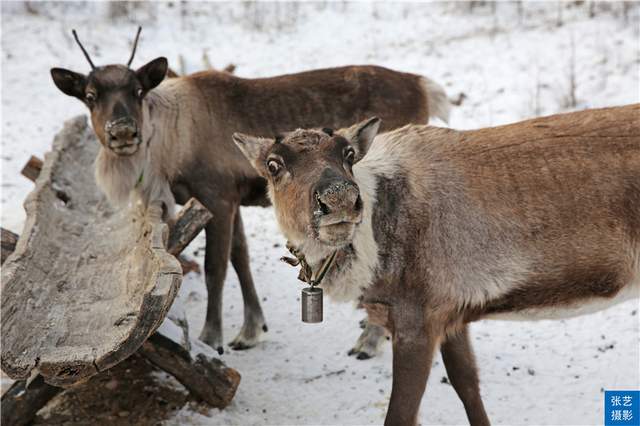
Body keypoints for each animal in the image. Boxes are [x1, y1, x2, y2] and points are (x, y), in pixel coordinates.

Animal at [50, 28, 451, 355]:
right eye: (90, 95)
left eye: (137, 90)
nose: (122, 132)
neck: (170, 145)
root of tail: (424, 86)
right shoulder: (231, 200)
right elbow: (240, 258)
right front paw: (251, 329)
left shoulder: (216, 196)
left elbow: (215, 268)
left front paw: (211, 338)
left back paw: (369, 341)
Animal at [232, 104, 640, 425]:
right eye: (273, 164)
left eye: (347, 154)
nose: (340, 200)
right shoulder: (452, 312)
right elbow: (468, 387)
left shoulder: (416, 319)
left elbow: (401, 415)